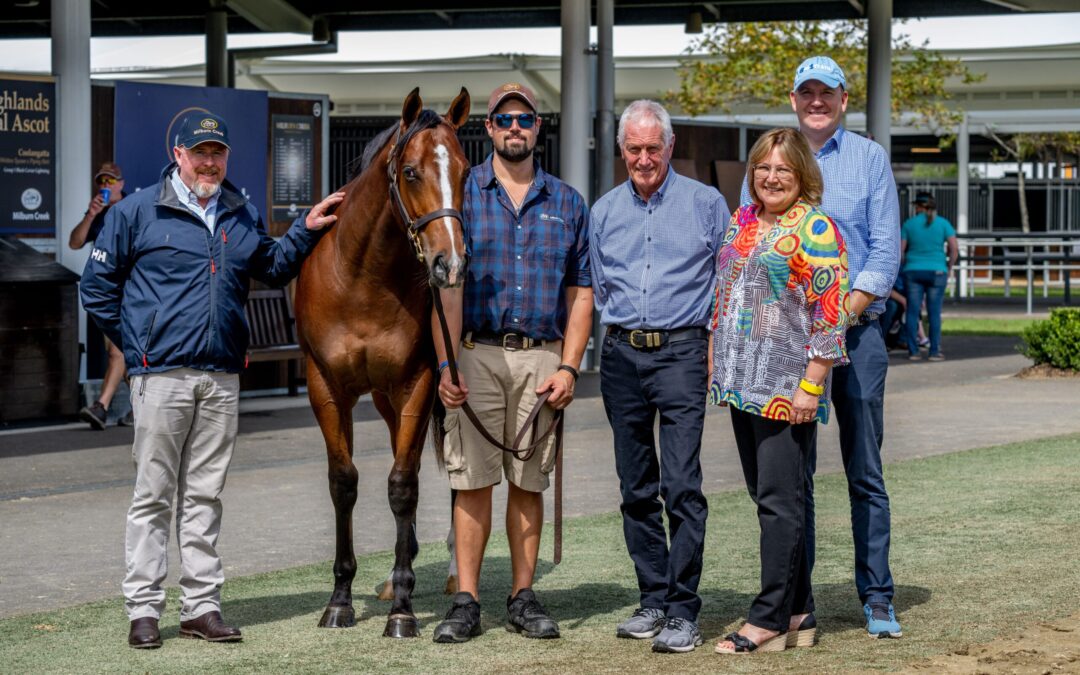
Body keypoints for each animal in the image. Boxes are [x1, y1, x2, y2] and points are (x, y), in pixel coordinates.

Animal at [295, 85, 468, 635]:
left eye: (464, 171)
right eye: (410, 172)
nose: (450, 264)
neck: (362, 279)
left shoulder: (418, 382)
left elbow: (402, 485)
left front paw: (403, 611)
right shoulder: (326, 386)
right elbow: (345, 482)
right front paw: (340, 599)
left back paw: (453, 571)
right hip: (390, 401)